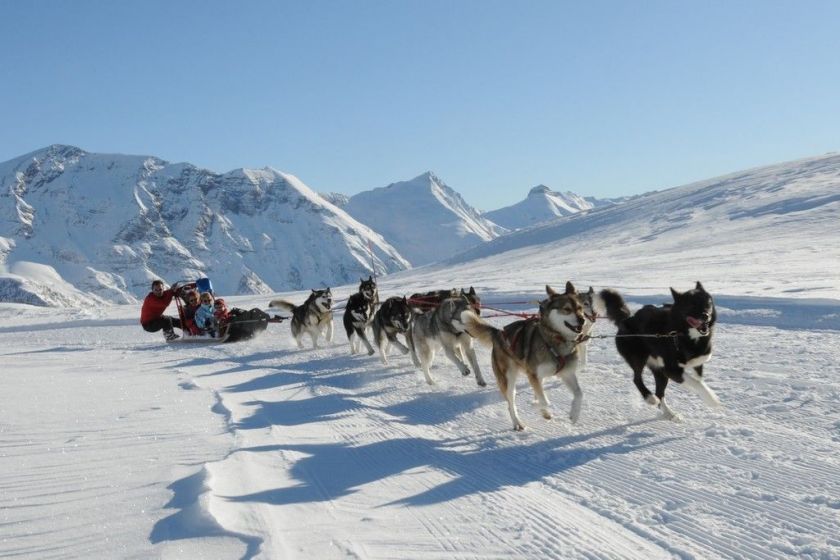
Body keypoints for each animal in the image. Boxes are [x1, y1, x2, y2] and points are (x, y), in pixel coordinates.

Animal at [466, 282, 584, 430]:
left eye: (580, 308)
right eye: (567, 309)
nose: (582, 320)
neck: (555, 339)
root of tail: (498, 333)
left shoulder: (566, 373)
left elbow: (579, 393)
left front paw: (574, 414)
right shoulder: (533, 375)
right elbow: (545, 401)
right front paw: (535, 406)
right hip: (509, 379)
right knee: (511, 404)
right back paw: (518, 422)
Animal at [596, 284, 720, 420]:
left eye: (707, 303)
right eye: (692, 304)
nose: (705, 315)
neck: (683, 334)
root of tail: (627, 319)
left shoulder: (697, 362)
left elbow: (699, 380)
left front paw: (703, 393)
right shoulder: (670, 369)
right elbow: (696, 382)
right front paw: (711, 399)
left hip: (658, 371)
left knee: (659, 393)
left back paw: (669, 413)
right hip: (639, 358)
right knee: (637, 379)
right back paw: (650, 398)